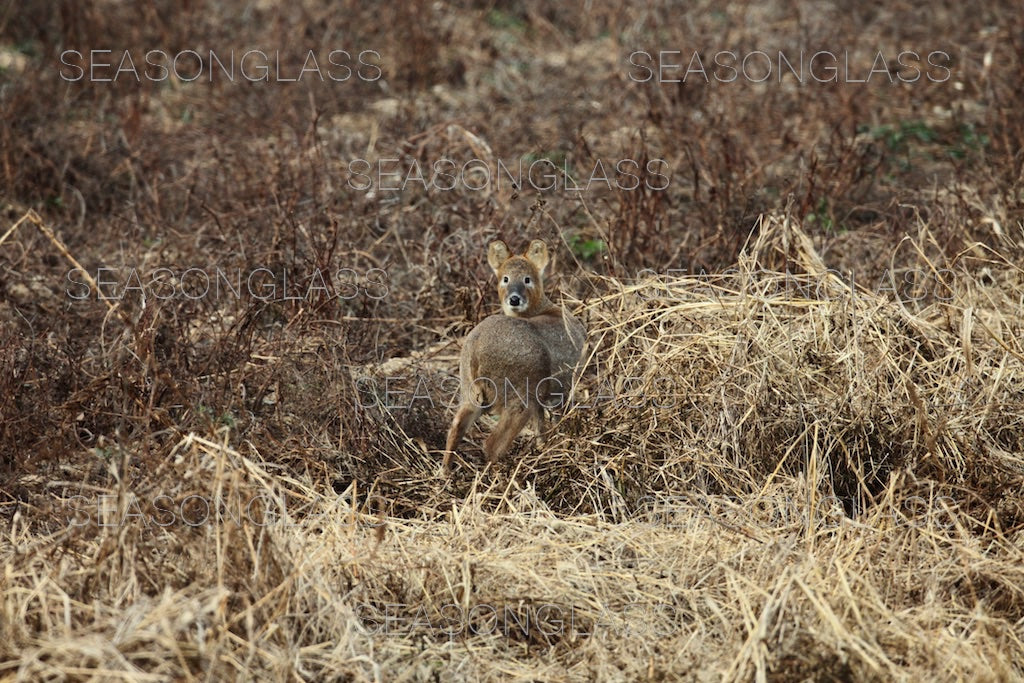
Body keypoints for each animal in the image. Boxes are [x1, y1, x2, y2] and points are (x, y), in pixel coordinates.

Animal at [443, 239, 586, 471]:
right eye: (505, 278)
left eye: (528, 278)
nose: (514, 299)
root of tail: (475, 351)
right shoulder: (563, 386)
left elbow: (540, 426)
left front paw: (543, 447)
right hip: (519, 393)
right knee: (492, 443)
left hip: (469, 390)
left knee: (456, 426)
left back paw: (446, 471)